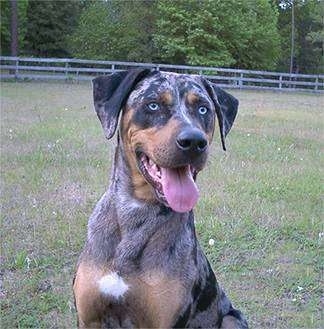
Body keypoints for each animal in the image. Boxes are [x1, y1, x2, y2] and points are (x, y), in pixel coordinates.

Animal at [74, 68, 248, 326]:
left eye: (203, 109)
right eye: (153, 105)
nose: (194, 141)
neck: (136, 210)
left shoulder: (166, 319)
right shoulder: (89, 318)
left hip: (231, 319)